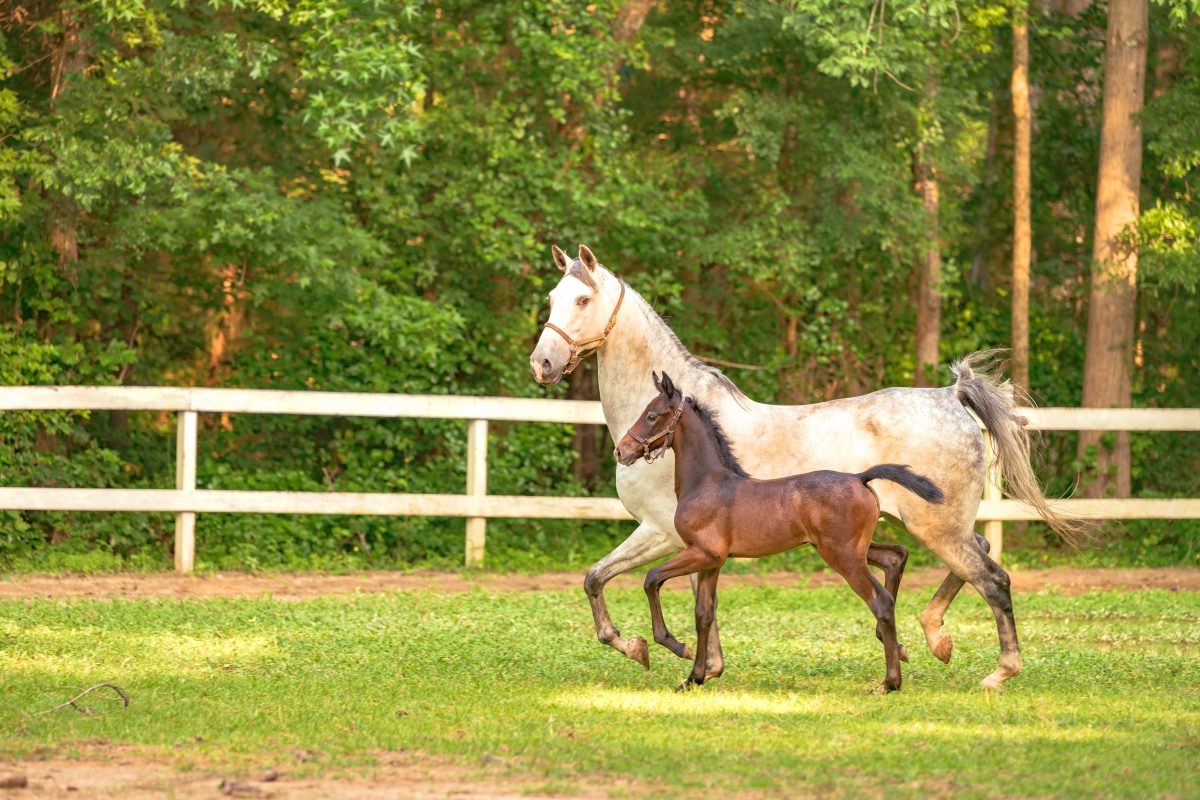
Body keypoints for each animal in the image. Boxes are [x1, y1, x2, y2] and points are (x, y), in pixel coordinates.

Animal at [619, 376, 945, 695]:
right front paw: (694, 678)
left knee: (881, 601)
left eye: (651, 415)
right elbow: (704, 614)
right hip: (853, 550)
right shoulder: (713, 561)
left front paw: (674, 646)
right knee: (896, 557)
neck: (705, 483)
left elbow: (651, 578)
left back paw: (889, 682)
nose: (621, 451)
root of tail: (858, 478)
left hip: (843, 556)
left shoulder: (701, 553)